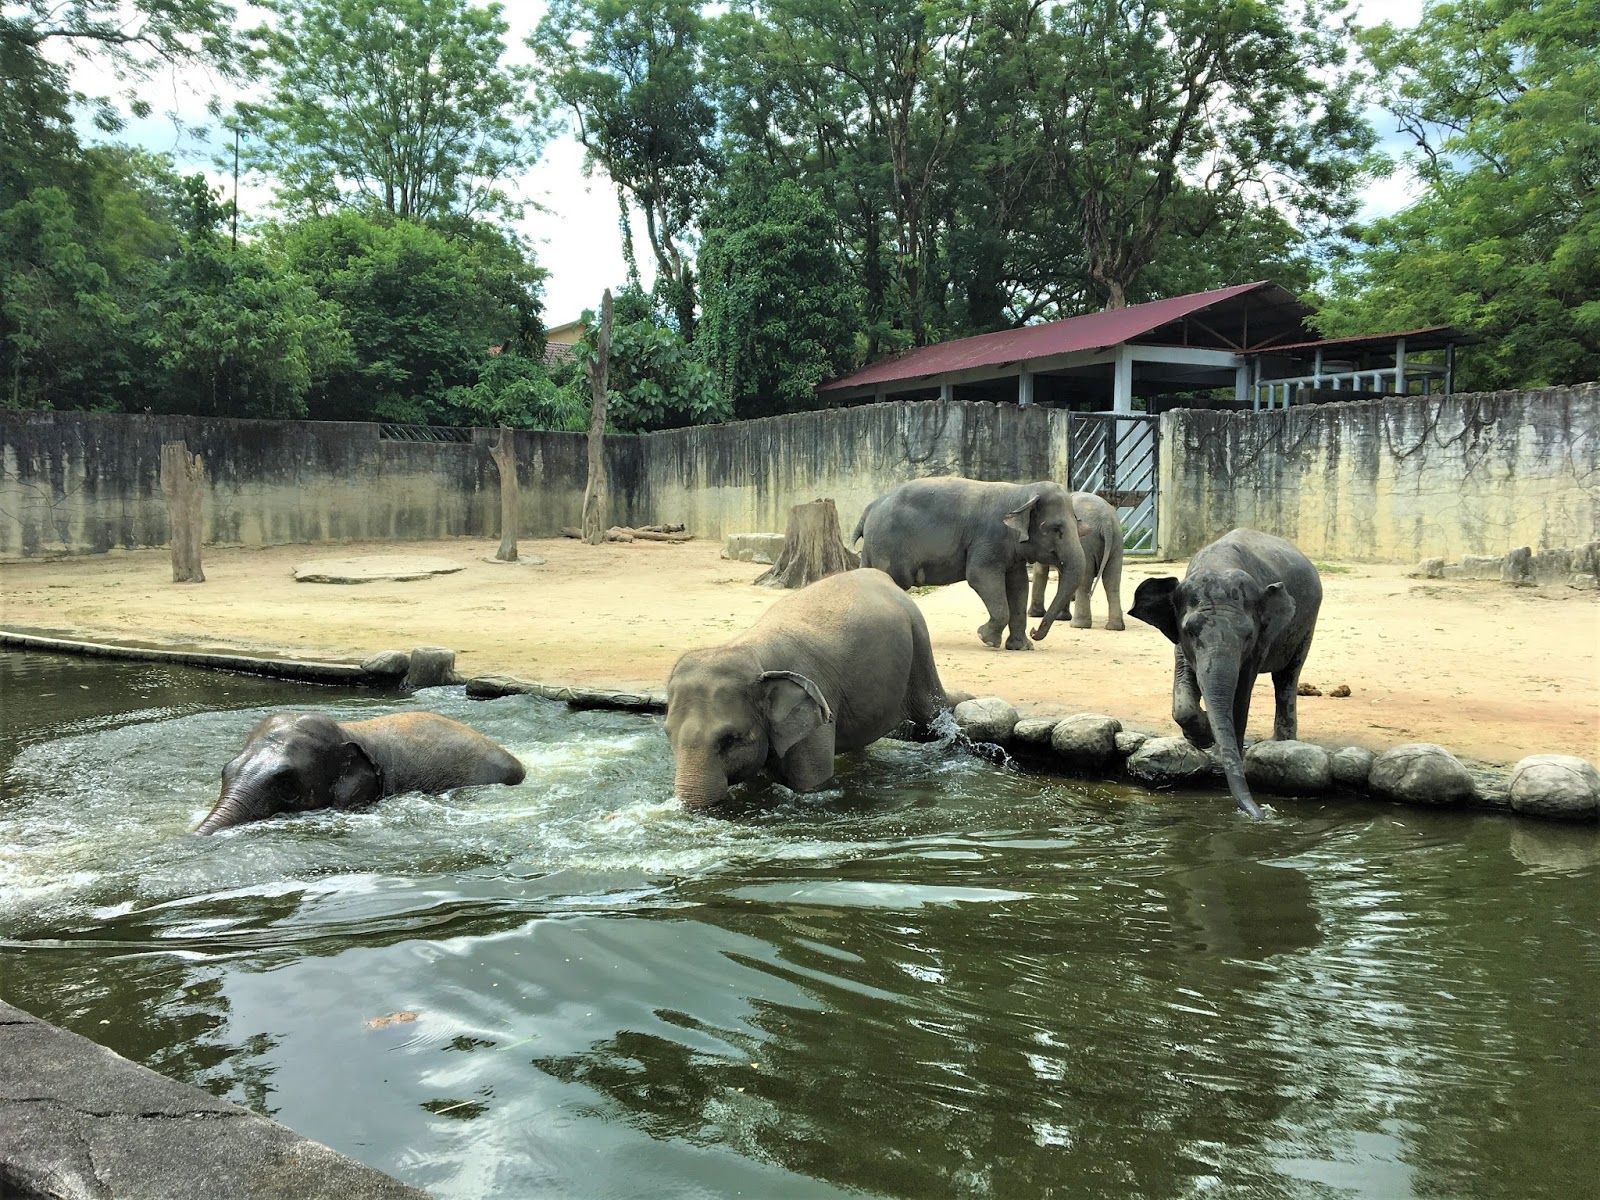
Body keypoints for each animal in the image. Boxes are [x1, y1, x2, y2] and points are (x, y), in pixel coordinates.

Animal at [662, 569, 947, 812]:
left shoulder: (815, 713)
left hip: (919, 643)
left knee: (933, 711)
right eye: (668, 734)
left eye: (731, 739)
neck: (746, 649)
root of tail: (884, 577)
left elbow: (811, 783)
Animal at [1024, 489, 1126, 640]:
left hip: (1087, 543)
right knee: (1112, 582)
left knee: (1085, 582)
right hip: (1117, 544)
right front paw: (1061, 617)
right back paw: (1115, 627)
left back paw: (1078, 625)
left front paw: (1034, 614)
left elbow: (1041, 571)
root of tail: (1106, 521)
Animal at [1126, 531, 1324, 825]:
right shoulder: (1180, 640)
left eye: (1248, 635)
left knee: (1287, 676)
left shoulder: (1260, 640)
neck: (1219, 564)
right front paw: (1201, 738)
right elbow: (1185, 683)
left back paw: (1283, 742)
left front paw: (1219, 746)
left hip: (1307, 623)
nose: (1260, 813)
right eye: (1190, 631)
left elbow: (1242, 690)